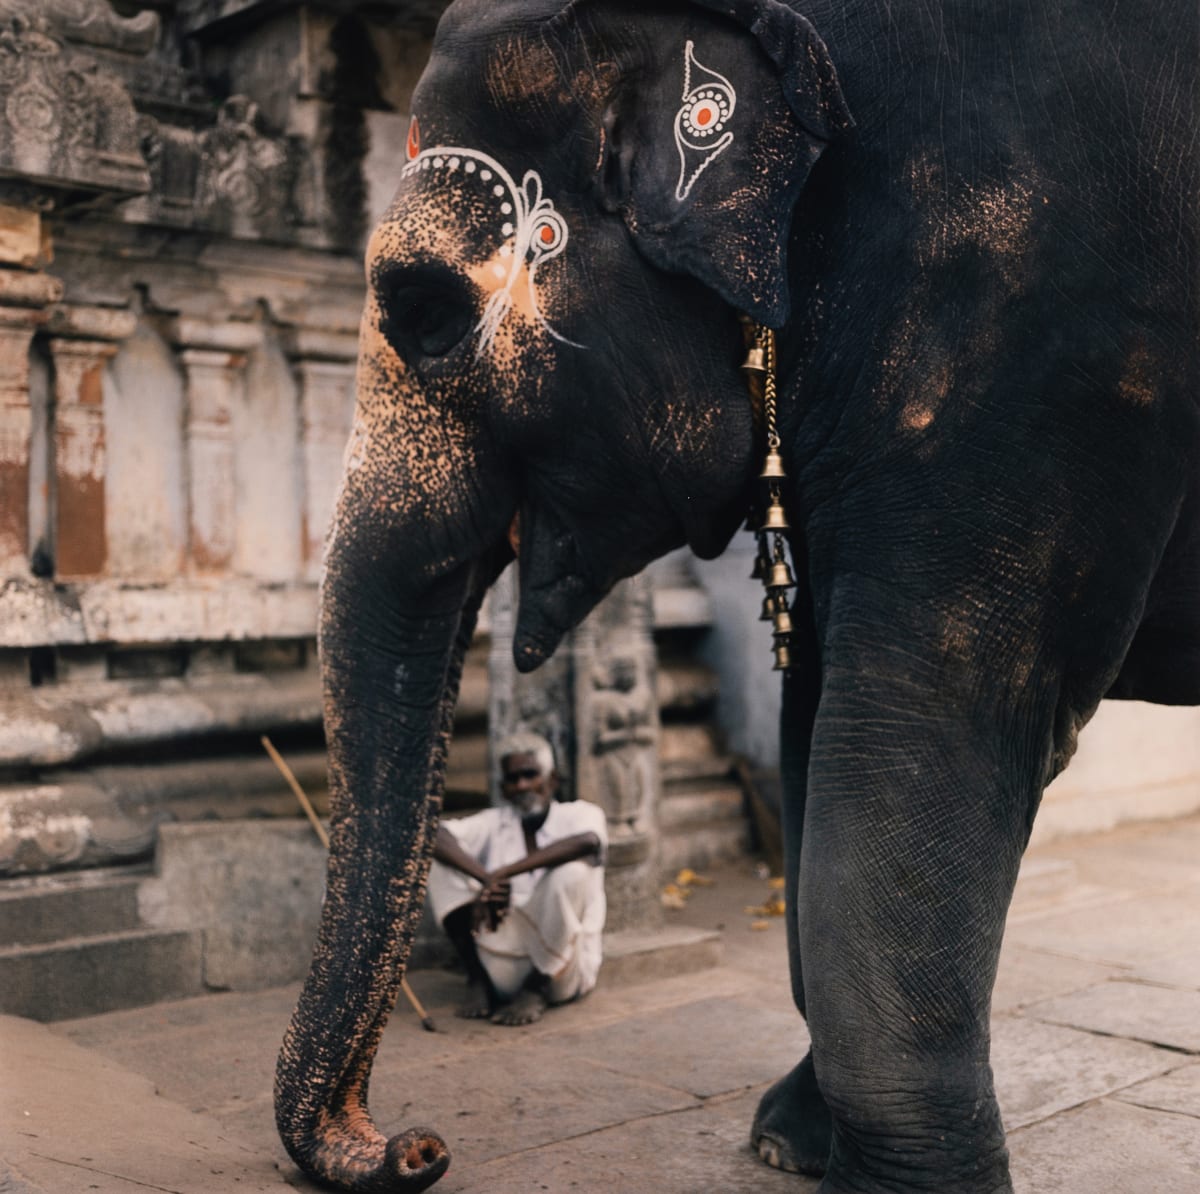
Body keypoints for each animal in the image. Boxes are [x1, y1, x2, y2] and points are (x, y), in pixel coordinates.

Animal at [274, 0, 1200, 1190]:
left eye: (424, 313)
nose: (415, 1146)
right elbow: (819, 726)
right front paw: (787, 1145)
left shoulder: (1041, 340)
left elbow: (913, 729)